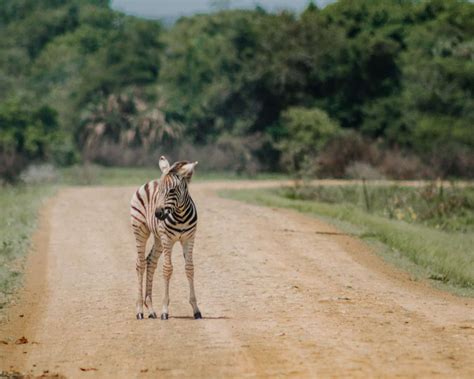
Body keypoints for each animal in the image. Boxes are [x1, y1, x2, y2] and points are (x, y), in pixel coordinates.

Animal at [131, 157, 201, 320]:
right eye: (161, 190)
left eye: (172, 190)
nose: (157, 214)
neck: (180, 214)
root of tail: (150, 182)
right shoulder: (168, 239)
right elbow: (167, 269)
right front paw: (165, 310)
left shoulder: (189, 239)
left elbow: (190, 268)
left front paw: (196, 309)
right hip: (141, 231)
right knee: (140, 264)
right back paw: (139, 310)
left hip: (158, 238)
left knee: (150, 261)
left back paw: (150, 309)